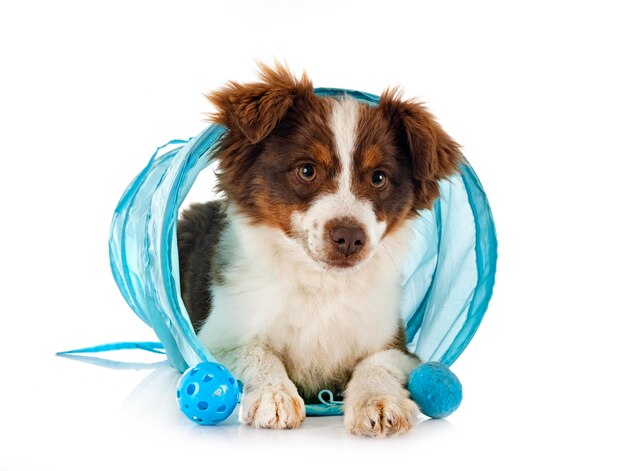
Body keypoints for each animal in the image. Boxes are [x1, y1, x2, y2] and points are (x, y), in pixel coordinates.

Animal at [176, 63, 458, 438]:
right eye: (307, 170)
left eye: (379, 178)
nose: (350, 238)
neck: (321, 282)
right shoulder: (215, 337)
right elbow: (257, 352)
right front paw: (274, 395)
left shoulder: (397, 345)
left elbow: (375, 363)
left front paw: (378, 402)